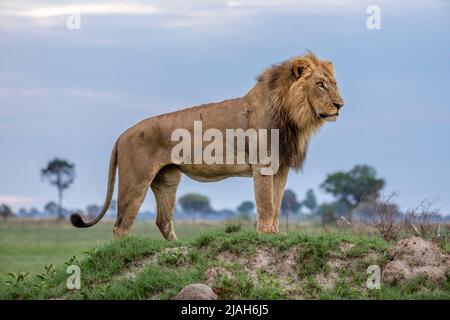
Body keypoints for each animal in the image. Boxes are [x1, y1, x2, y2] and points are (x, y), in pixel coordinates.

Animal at [71, 52, 344, 240]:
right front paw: (266, 237)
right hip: (135, 180)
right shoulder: (263, 166)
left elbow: (276, 205)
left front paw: (276, 235)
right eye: (320, 84)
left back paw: (177, 249)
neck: (291, 117)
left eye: (334, 83)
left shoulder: (281, 168)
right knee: (121, 225)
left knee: (163, 221)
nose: (340, 105)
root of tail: (121, 136)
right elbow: (266, 206)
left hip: (167, 180)